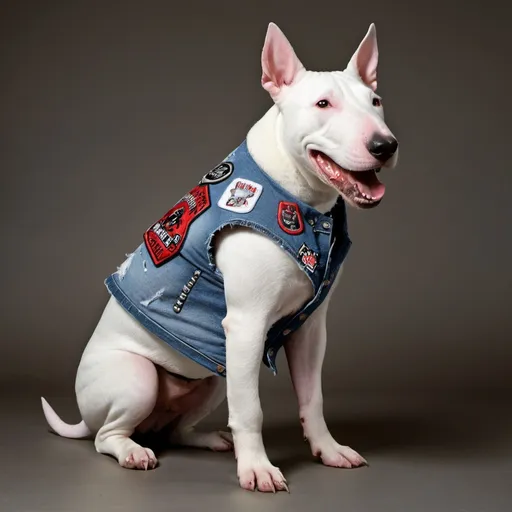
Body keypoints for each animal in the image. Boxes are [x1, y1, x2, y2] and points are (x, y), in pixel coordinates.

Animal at [41, 22, 400, 494]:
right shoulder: (246, 326)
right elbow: (250, 409)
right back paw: (133, 451)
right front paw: (258, 469)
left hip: (212, 374)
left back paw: (207, 439)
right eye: (323, 104)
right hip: (139, 379)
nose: (385, 145)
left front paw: (328, 450)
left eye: (375, 102)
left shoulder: (309, 328)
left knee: (175, 429)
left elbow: (312, 397)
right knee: (107, 436)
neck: (298, 197)